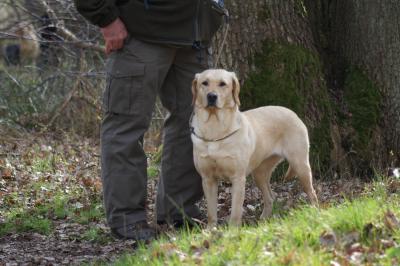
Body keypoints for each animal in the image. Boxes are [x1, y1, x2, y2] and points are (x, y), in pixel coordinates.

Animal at [191, 68, 318, 227]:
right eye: (204, 83)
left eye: (223, 84)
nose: (212, 96)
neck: (215, 130)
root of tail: (292, 112)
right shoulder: (208, 179)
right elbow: (211, 213)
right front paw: (211, 230)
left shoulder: (238, 179)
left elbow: (235, 213)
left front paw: (232, 230)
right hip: (259, 174)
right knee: (270, 197)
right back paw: (263, 221)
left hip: (300, 166)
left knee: (312, 193)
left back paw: (314, 214)